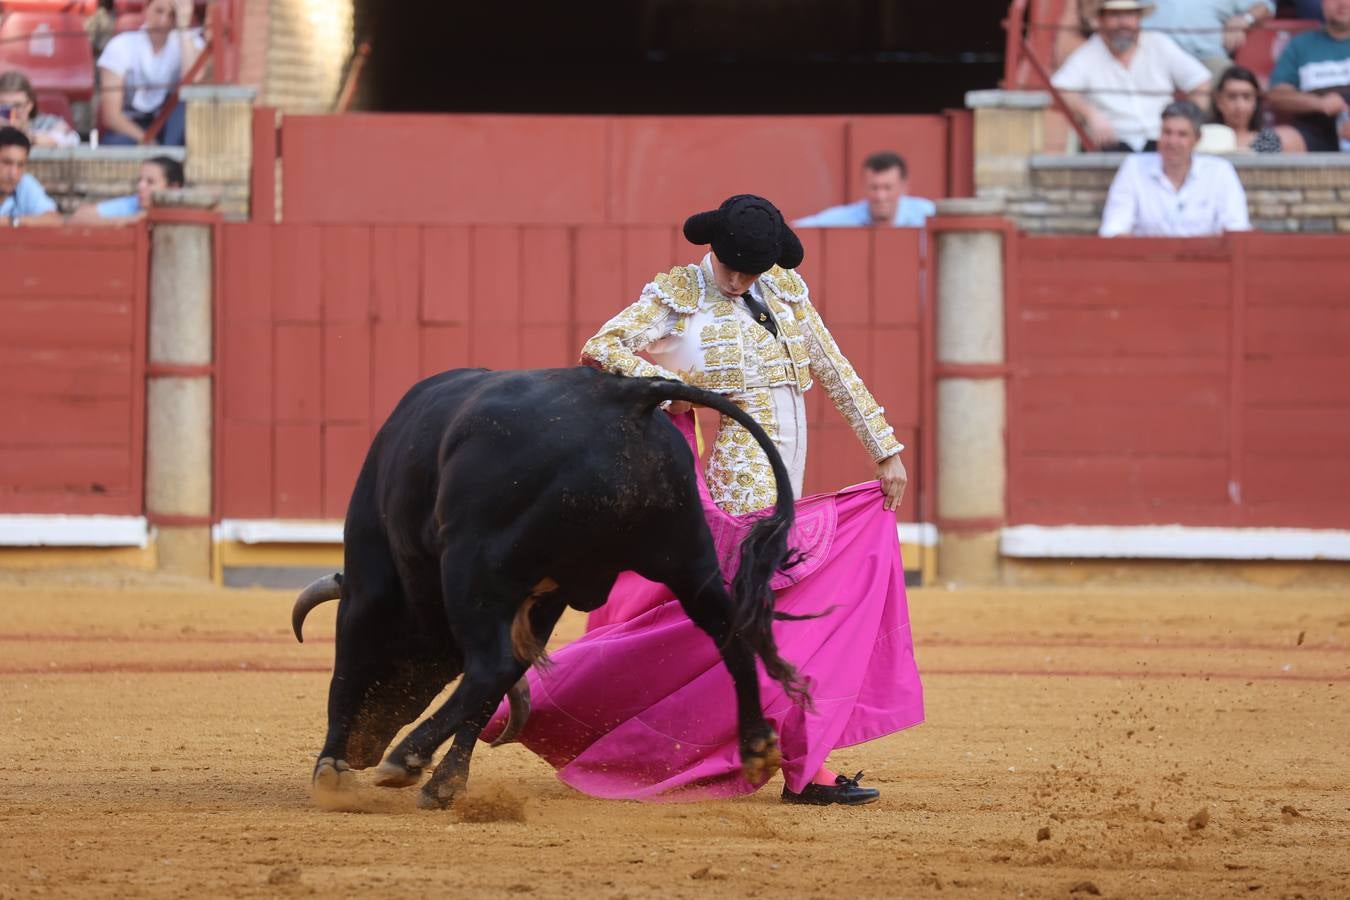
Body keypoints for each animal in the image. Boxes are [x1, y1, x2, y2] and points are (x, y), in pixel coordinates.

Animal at [290, 367, 804, 809]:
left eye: (401, 667)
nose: (363, 752)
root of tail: (626, 394)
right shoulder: (543, 602)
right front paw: (441, 783)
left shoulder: (369, 584)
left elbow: (346, 670)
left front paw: (330, 771)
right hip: (687, 557)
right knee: (730, 633)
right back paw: (758, 746)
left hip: (472, 564)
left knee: (491, 667)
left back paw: (406, 757)